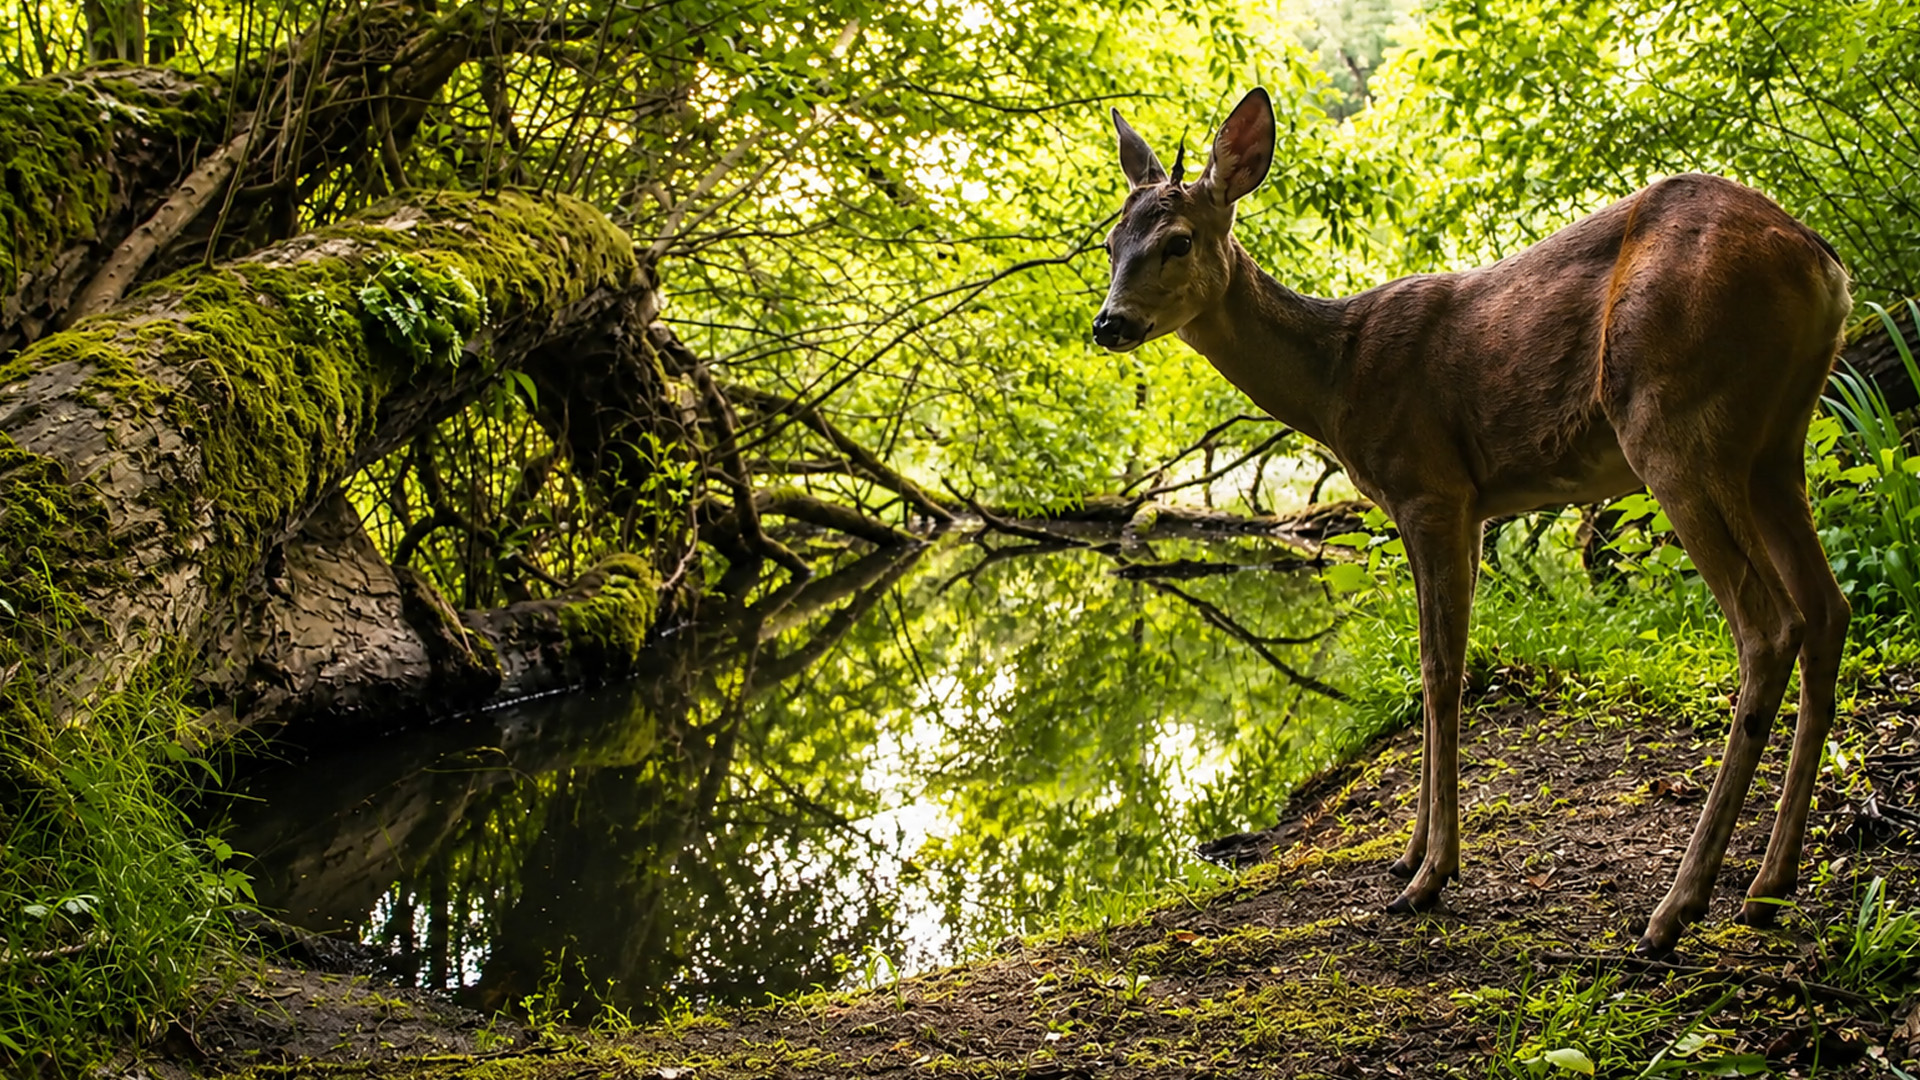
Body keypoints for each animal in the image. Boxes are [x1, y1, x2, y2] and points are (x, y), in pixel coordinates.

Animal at [1094, 88, 1854, 955]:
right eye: (1112, 241)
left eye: (1178, 241)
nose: (1109, 323)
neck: (1336, 376)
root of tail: (1822, 263)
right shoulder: (1459, 507)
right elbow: (1436, 664)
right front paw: (1410, 856)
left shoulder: (1431, 487)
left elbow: (1439, 669)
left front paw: (1430, 874)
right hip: (1777, 443)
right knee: (1828, 608)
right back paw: (1767, 887)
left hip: (1675, 420)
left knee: (1769, 625)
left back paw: (1676, 909)